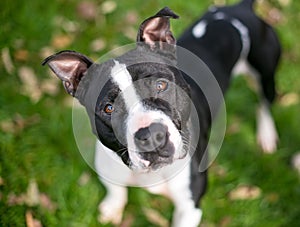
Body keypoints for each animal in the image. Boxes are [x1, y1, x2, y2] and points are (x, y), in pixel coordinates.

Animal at [42, 0, 282, 225]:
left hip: (266, 75)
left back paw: (266, 135)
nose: (151, 136)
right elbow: (115, 189)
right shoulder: (107, 166)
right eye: (109, 108)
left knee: (264, 104)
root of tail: (238, 8)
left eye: (161, 85)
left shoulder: (189, 208)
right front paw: (112, 208)